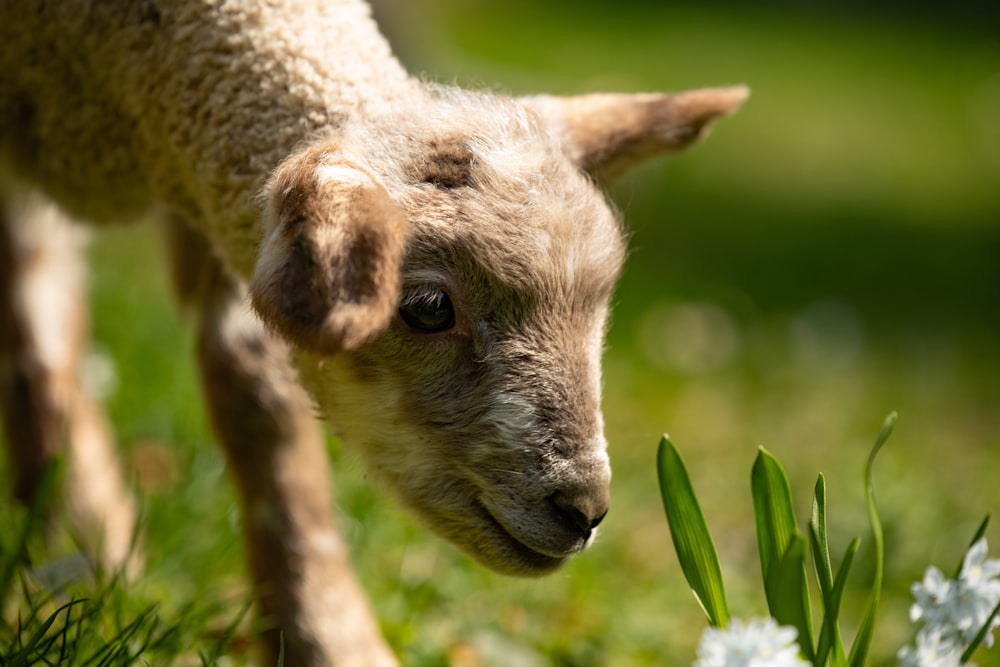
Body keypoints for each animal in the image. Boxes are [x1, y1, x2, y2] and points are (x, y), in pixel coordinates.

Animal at [0, 2, 748, 664]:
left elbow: (258, 398)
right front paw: (74, 553)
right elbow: (38, 332)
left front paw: (325, 637)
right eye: (427, 306)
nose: (583, 509)